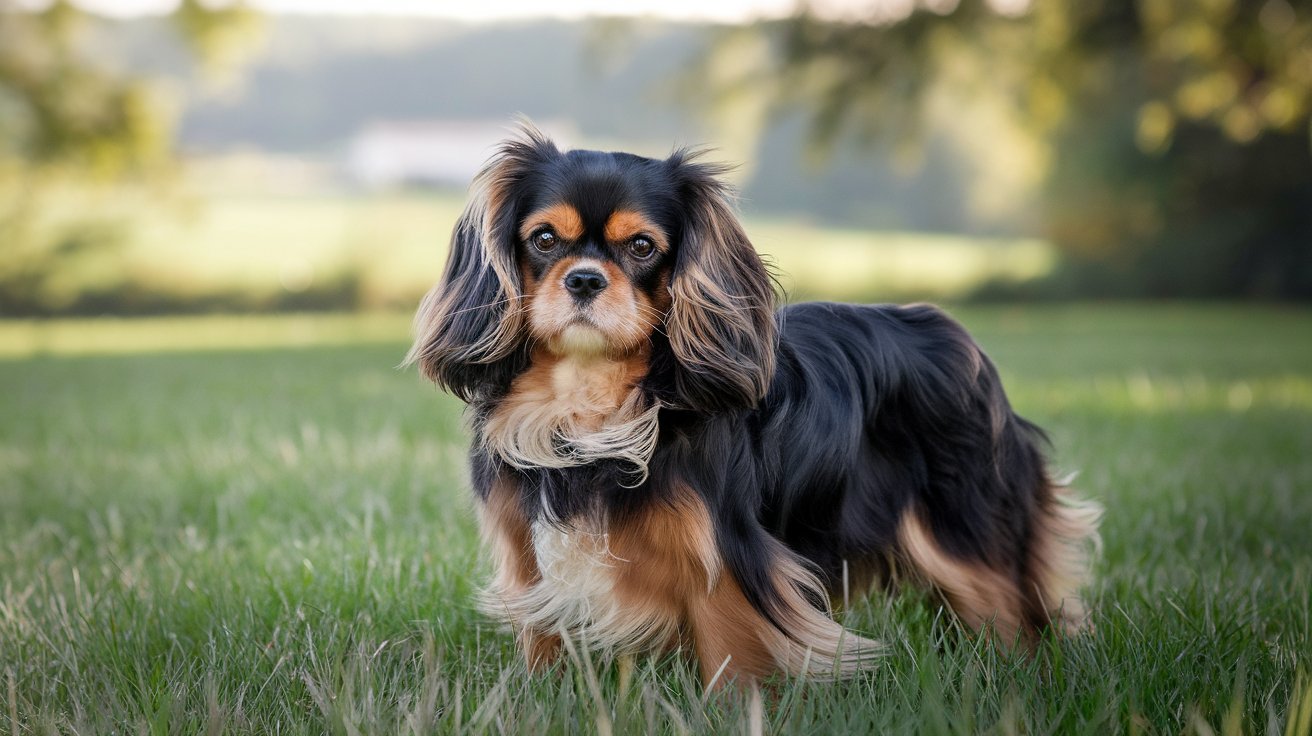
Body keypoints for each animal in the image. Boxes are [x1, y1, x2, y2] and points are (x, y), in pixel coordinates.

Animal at [404, 123, 1102, 687]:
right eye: (544, 239)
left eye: (642, 247)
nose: (583, 279)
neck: (588, 398)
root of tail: (960, 341)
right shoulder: (528, 555)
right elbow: (541, 641)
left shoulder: (727, 558)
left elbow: (732, 654)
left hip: (964, 535)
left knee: (1007, 612)